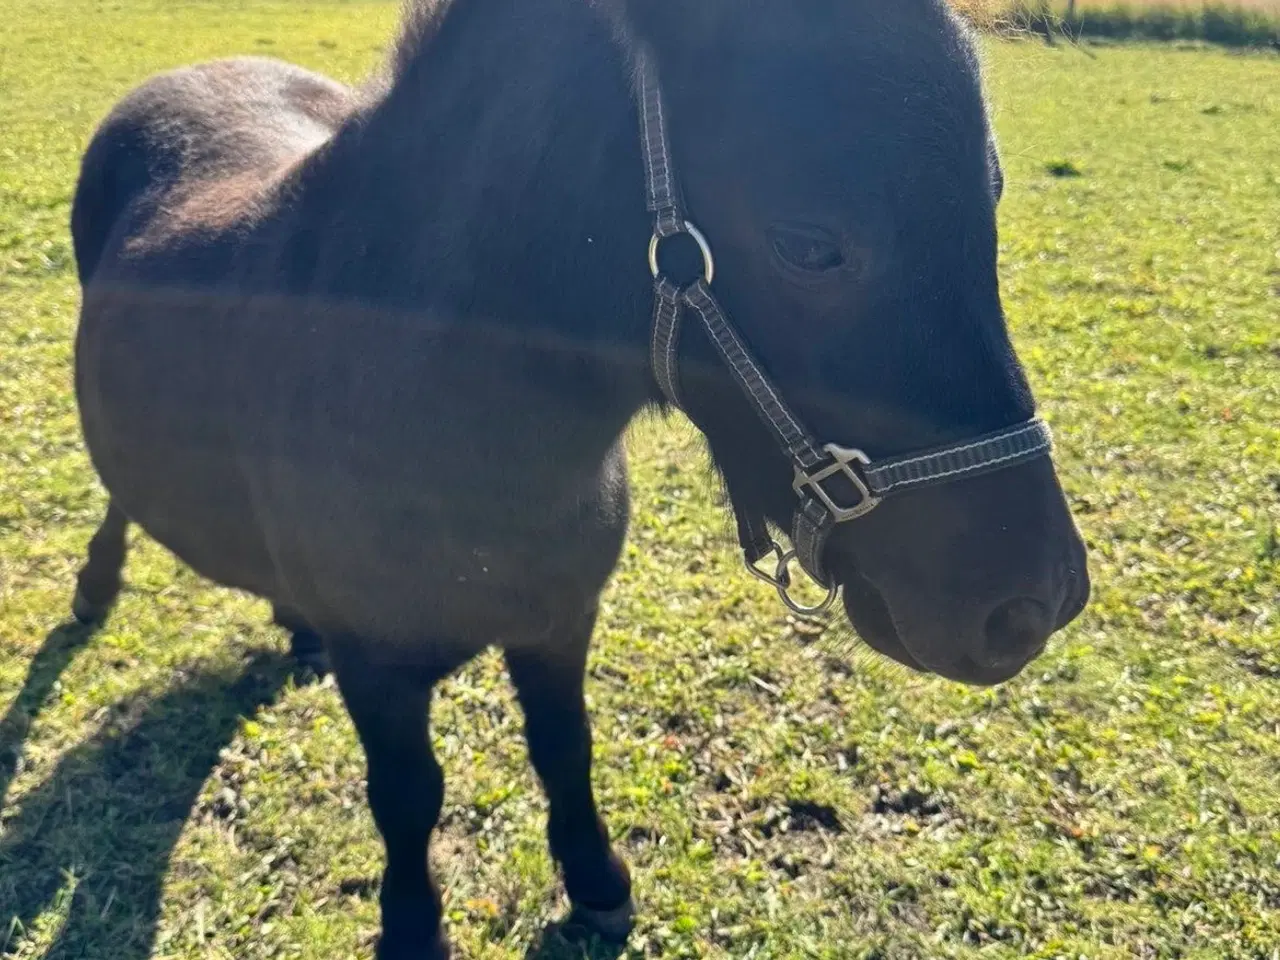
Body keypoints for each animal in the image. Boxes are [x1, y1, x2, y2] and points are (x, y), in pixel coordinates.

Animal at [66, 0, 1090, 955]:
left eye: (992, 201)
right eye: (808, 244)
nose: (1035, 603)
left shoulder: (559, 622)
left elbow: (564, 747)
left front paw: (595, 879)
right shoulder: (379, 669)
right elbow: (406, 795)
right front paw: (412, 926)